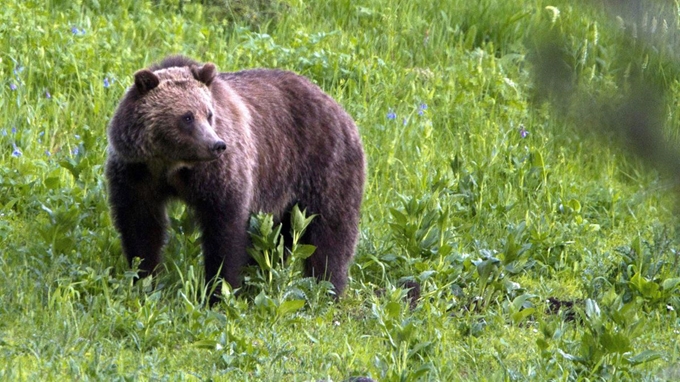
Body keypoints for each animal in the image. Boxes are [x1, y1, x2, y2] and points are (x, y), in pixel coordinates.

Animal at [105, 55, 366, 302]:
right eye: (187, 117)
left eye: (209, 114)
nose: (216, 145)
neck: (171, 165)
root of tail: (338, 107)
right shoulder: (137, 174)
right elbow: (141, 226)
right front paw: (143, 279)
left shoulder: (218, 174)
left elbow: (224, 229)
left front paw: (219, 290)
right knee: (280, 237)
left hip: (323, 165)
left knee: (331, 231)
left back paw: (327, 288)